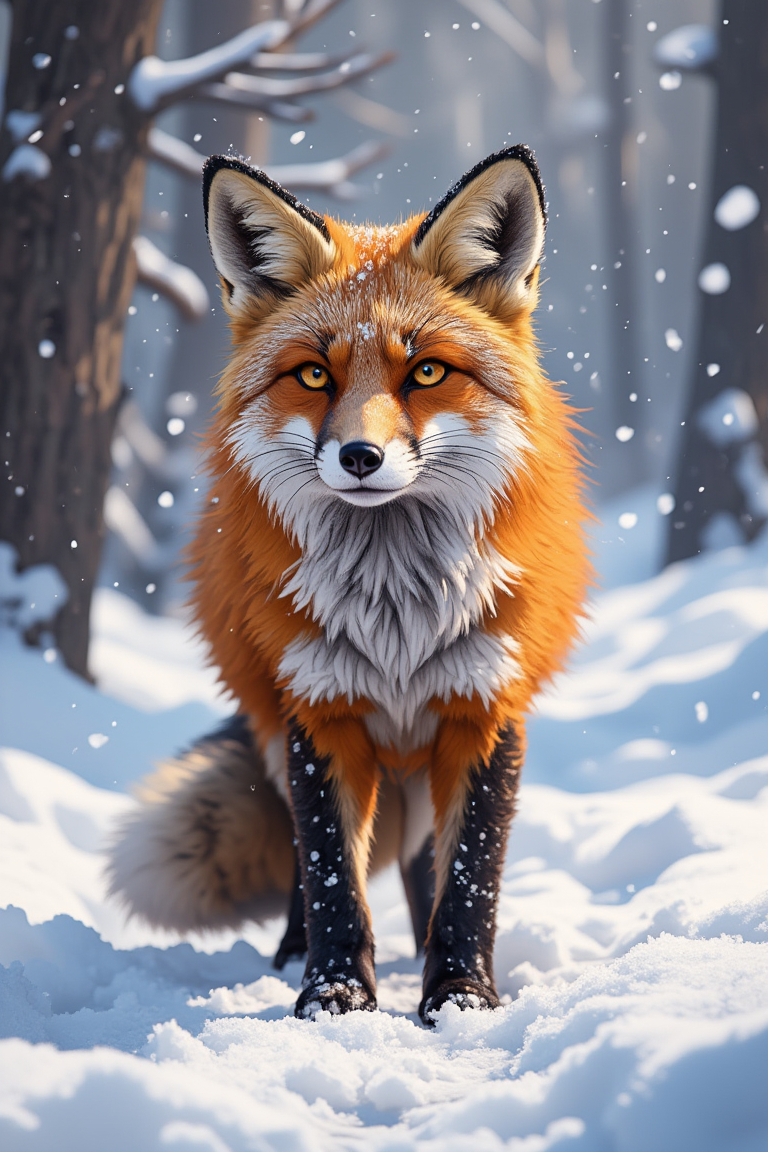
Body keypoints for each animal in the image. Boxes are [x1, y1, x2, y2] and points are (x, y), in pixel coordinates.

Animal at [108, 145, 590, 1023]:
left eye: (426, 371)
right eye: (312, 376)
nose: (360, 457)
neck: (396, 615)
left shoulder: (485, 709)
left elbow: (469, 879)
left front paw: (460, 995)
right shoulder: (320, 711)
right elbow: (334, 875)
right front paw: (333, 993)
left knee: (423, 867)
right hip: (276, 731)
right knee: (313, 866)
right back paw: (291, 956)